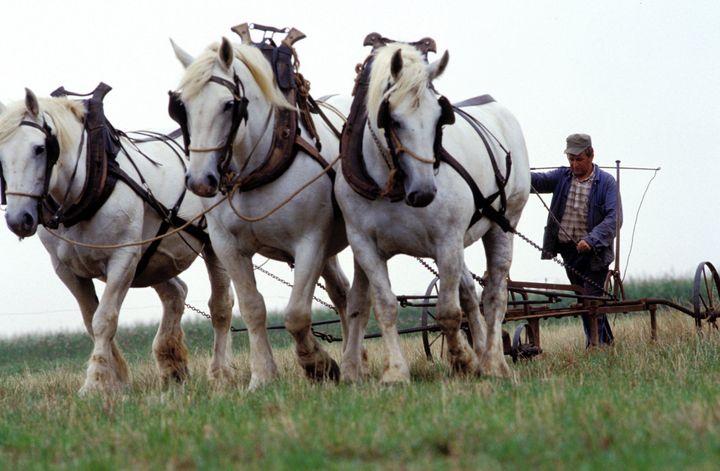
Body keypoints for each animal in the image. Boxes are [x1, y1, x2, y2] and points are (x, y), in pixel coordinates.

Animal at [0, 89, 233, 394]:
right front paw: (118, 379)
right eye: (1, 156)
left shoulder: (123, 258)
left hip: (211, 246)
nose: (19, 219)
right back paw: (172, 366)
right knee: (176, 293)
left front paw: (95, 382)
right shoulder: (67, 270)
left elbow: (104, 320)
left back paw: (220, 373)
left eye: (39, 148)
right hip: (154, 259)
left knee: (221, 305)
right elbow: (90, 319)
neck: (88, 184)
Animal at [169, 37, 348, 390]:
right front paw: (263, 376)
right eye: (181, 106)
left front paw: (318, 365)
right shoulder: (227, 247)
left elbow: (296, 314)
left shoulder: (310, 241)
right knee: (345, 295)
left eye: (229, 105)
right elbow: (253, 308)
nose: (200, 181)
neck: (261, 163)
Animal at [336, 43, 528, 384]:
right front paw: (395, 372)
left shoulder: (447, 241)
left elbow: (448, 311)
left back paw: (493, 362)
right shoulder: (364, 245)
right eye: (393, 119)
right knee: (470, 294)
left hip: (504, 224)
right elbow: (385, 306)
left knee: (494, 295)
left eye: (441, 119)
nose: (424, 192)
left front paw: (462, 360)